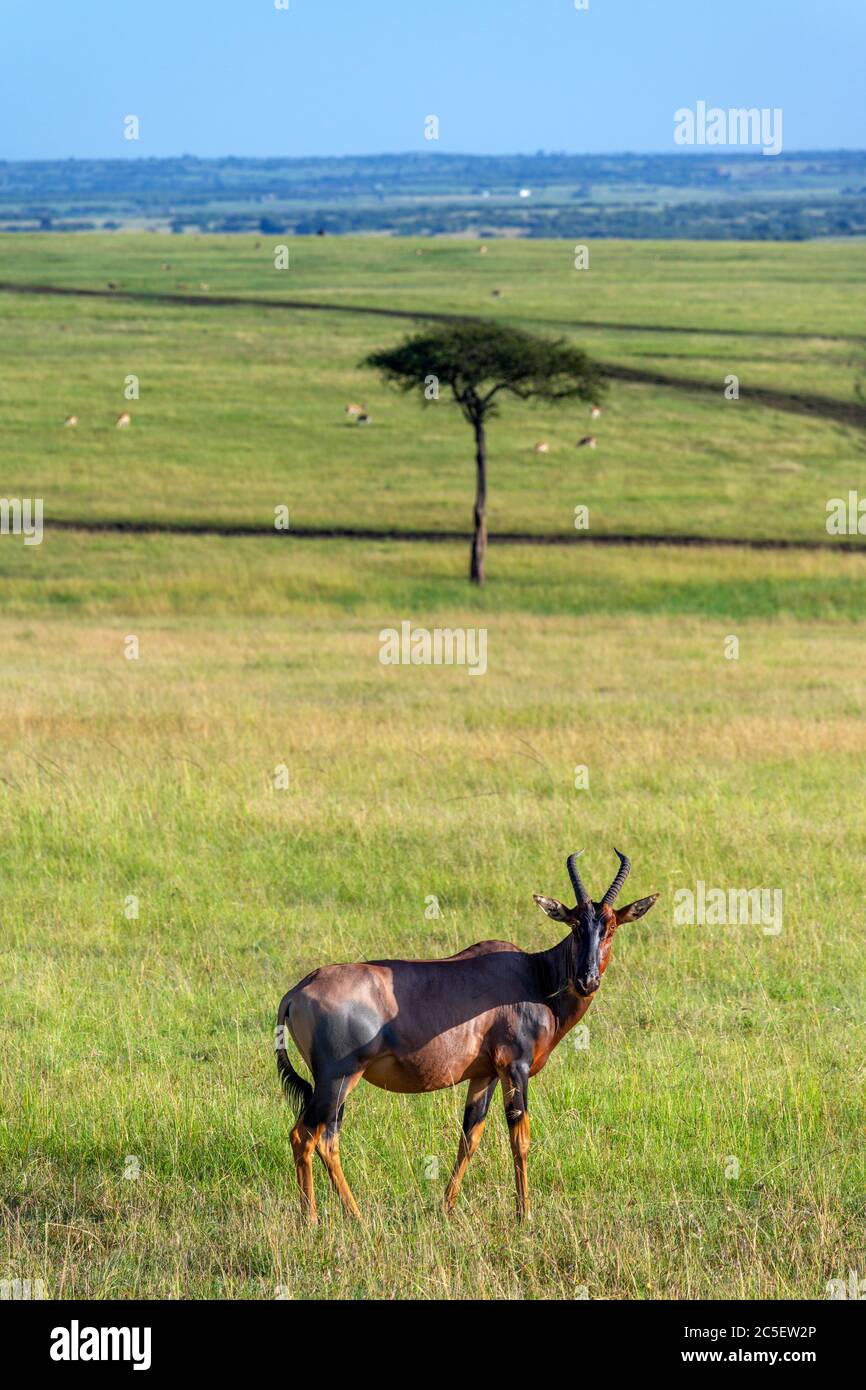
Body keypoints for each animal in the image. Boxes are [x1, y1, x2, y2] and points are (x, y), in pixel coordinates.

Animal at [278, 845, 656, 1217]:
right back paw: (317, 1219)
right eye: (576, 925)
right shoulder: (514, 1068)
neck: (533, 974)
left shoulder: (484, 1075)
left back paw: (346, 1215)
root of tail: (297, 990)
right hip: (338, 1077)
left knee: (327, 1138)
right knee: (305, 1135)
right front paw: (524, 1214)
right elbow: (520, 1139)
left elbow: (469, 1137)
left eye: (610, 927)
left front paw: (446, 1206)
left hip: (338, 1083)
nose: (586, 981)